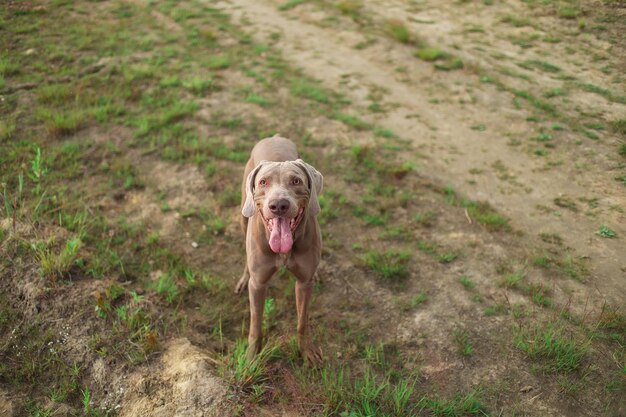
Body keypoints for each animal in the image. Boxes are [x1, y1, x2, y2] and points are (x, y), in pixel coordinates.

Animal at [233, 135, 322, 362]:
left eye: (296, 181)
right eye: (263, 182)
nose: (279, 205)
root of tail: (275, 136)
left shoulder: (304, 284)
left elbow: (302, 321)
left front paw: (307, 351)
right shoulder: (258, 285)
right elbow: (256, 323)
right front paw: (251, 356)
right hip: (243, 216)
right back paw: (243, 278)